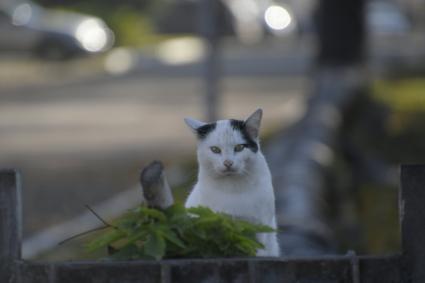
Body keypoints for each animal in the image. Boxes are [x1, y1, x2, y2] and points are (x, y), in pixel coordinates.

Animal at [182, 108, 278, 258]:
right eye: (215, 149)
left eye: (239, 147)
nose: (228, 163)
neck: (233, 188)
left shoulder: (260, 225)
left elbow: (258, 249)